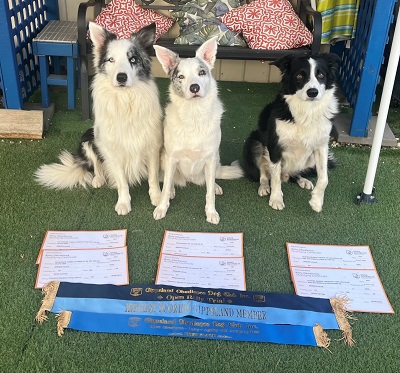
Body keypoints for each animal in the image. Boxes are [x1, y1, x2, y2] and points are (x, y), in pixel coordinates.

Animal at [34, 22, 162, 215]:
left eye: (133, 59)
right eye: (110, 60)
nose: (121, 77)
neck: (125, 100)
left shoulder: (152, 145)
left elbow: (153, 177)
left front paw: (157, 197)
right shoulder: (112, 149)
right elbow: (122, 181)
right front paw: (123, 203)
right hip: (88, 138)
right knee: (95, 164)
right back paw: (98, 179)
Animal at [152, 37, 242, 224]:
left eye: (201, 72)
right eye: (180, 76)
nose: (194, 88)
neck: (194, 116)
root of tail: (189, 178)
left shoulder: (210, 158)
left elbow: (209, 193)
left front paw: (211, 211)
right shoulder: (171, 157)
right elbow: (165, 188)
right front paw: (162, 208)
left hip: (216, 159)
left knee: (210, 181)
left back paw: (215, 185)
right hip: (164, 158)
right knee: (170, 181)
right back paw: (171, 190)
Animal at [242, 54, 340, 212]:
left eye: (321, 75)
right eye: (299, 75)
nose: (312, 92)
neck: (307, 111)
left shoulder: (322, 146)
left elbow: (324, 178)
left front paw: (316, 202)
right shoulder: (275, 146)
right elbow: (275, 178)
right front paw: (276, 199)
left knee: (293, 174)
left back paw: (302, 180)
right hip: (254, 142)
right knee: (264, 172)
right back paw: (264, 187)